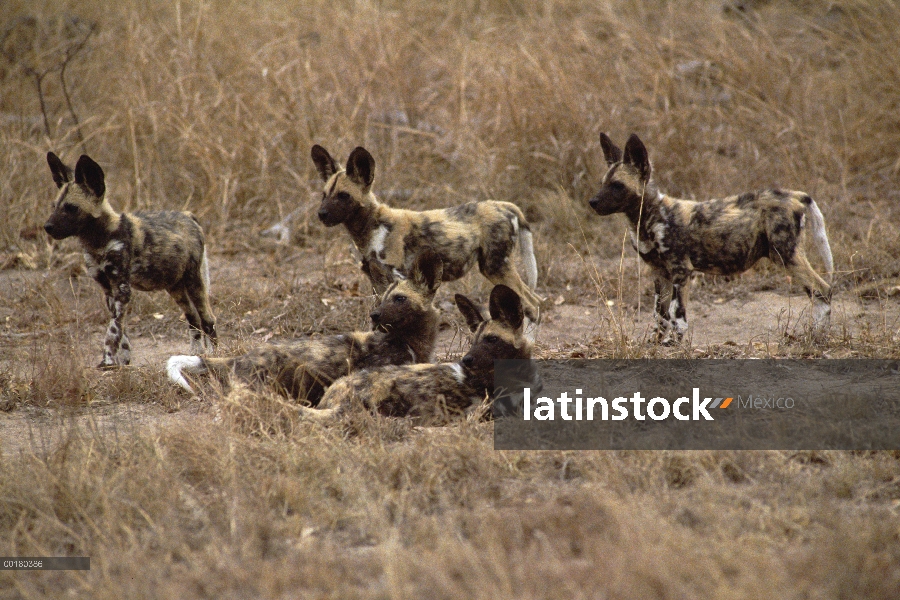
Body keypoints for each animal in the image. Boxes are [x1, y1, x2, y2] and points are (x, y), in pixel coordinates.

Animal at [46, 151, 220, 366]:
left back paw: (213, 354)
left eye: (71, 208)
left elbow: (112, 331)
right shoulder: (109, 291)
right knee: (193, 318)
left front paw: (108, 361)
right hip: (175, 287)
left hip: (193, 282)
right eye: (55, 206)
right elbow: (120, 329)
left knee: (207, 319)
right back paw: (193, 354)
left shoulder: (122, 289)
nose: (47, 227)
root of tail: (188, 215)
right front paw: (122, 360)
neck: (98, 241)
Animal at [312, 145, 544, 330]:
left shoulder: (398, 276)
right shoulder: (377, 279)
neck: (370, 227)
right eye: (324, 195)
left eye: (343, 196)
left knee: (531, 306)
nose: (321, 214)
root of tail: (504, 205)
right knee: (535, 300)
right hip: (496, 268)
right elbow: (379, 312)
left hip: (495, 267)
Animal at [588, 134, 832, 344]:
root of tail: (796, 195)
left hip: (786, 255)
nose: (592, 202)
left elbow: (676, 313)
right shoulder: (660, 274)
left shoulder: (681, 271)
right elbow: (659, 314)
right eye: (602, 183)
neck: (650, 218)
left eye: (618, 185)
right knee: (818, 292)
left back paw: (817, 337)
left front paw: (672, 343)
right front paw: (655, 342)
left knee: (823, 289)